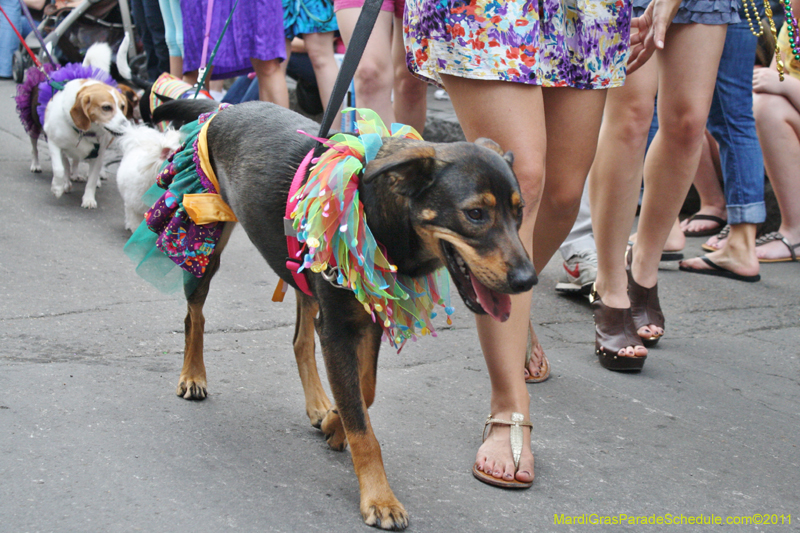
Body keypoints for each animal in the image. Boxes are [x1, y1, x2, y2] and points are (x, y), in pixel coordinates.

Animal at [152, 98, 536, 528]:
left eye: (519, 212)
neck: (380, 213)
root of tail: (224, 107)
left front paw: (335, 423)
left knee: (300, 340)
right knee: (195, 316)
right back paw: (193, 376)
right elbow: (361, 421)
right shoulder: (337, 327)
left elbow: (363, 393)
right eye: (475, 214)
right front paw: (379, 497)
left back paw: (318, 404)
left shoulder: (367, 316)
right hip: (206, 239)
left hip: (302, 273)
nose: (528, 279)